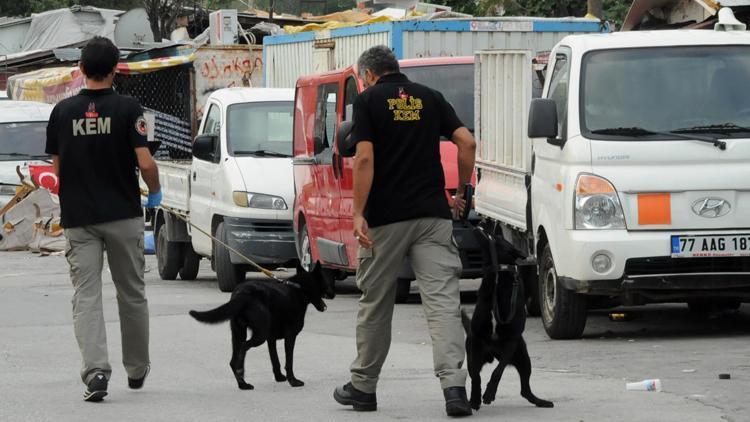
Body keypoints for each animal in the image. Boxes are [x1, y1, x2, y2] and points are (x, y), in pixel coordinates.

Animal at [189, 268, 334, 390]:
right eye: (326, 282)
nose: (333, 294)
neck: (299, 289)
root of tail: (242, 294)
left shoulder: (271, 339)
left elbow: (275, 360)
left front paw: (279, 377)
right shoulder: (290, 336)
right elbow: (289, 361)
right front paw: (293, 381)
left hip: (238, 333)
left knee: (233, 360)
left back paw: (243, 384)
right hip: (259, 336)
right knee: (243, 348)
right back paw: (241, 372)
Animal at [462, 226, 556, 410]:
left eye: (498, 237)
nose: (481, 225)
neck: (497, 279)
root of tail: (492, 355)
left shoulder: (511, 340)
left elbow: (498, 371)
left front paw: (489, 393)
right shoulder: (475, 341)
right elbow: (476, 376)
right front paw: (475, 399)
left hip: (524, 358)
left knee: (525, 389)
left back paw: (541, 401)